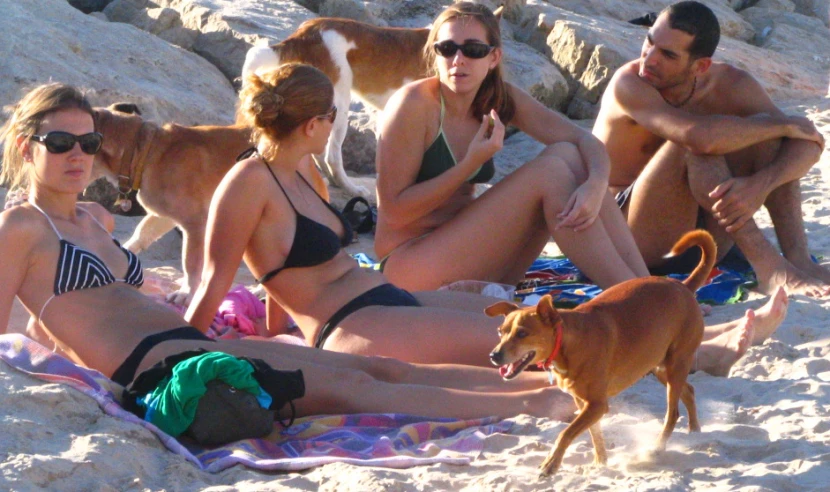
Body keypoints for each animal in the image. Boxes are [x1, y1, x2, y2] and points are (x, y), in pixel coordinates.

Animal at [91, 104, 324, 304]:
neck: (144, 150)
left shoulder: (194, 224)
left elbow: (190, 264)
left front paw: (186, 293)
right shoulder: (163, 216)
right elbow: (141, 233)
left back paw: (261, 291)